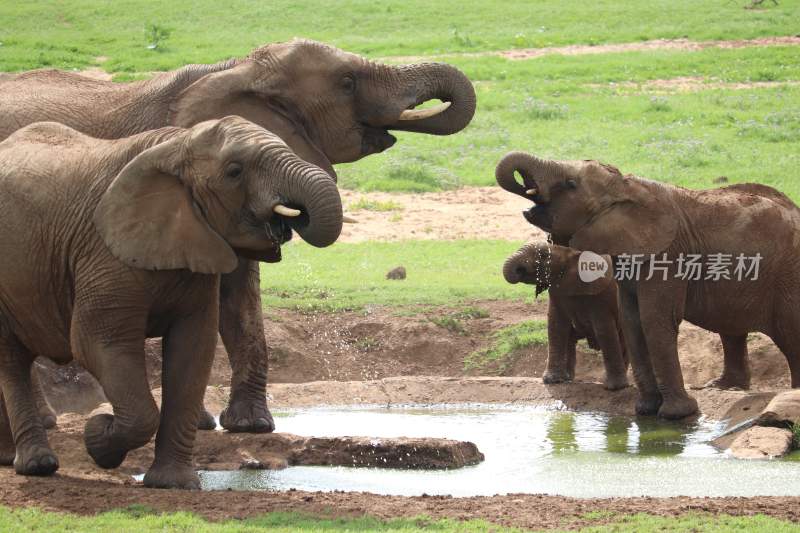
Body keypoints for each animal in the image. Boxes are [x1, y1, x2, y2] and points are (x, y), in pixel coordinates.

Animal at [0, 115, 342, 486]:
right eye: (234, 172)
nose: (291, 218)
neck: (177, 147)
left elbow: (193, 350)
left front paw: (174, 483)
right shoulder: (101, 253)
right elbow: (96, 343)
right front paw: (98, 436)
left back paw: (8, 459)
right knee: (11, 362)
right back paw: (37, 465)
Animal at [504, 243, 628, 388]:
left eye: (545, 255)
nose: (519, 270)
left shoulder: (602, 295)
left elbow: (604, 330)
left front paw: (614, 388)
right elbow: (556, 326)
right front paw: (552, 381)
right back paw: (567, 378)